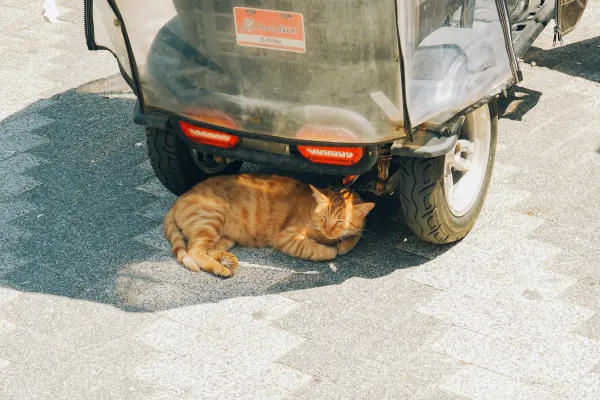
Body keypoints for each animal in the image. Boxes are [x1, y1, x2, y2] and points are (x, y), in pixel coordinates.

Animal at [162, 173, 372, 276]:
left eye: (339, 221)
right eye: (323, 218)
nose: (328, 230)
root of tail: (181, 197)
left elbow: (355, 235)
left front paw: (343, 243)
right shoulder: (287, 238)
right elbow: (318, 250)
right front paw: (331, 249)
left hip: (225, 237)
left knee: (208, 249)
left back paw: (226, 260)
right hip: (211, 219)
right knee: (194, 251)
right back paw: (220, 268)